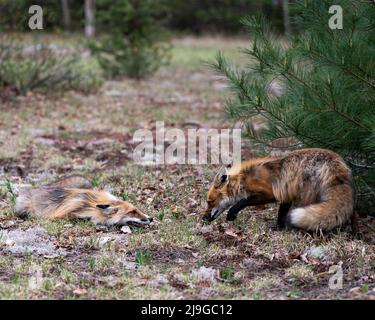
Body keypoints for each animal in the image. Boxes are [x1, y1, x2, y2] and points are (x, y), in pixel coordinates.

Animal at [204, 149, 356, 231]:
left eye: (210, 202)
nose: (203, 219)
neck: (243, 179)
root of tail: (339, 166)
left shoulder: (269, 193)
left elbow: (242, 202)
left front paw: (232, 213)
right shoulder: (286, 194)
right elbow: (281, 214)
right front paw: (279, 228)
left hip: (306, 195)